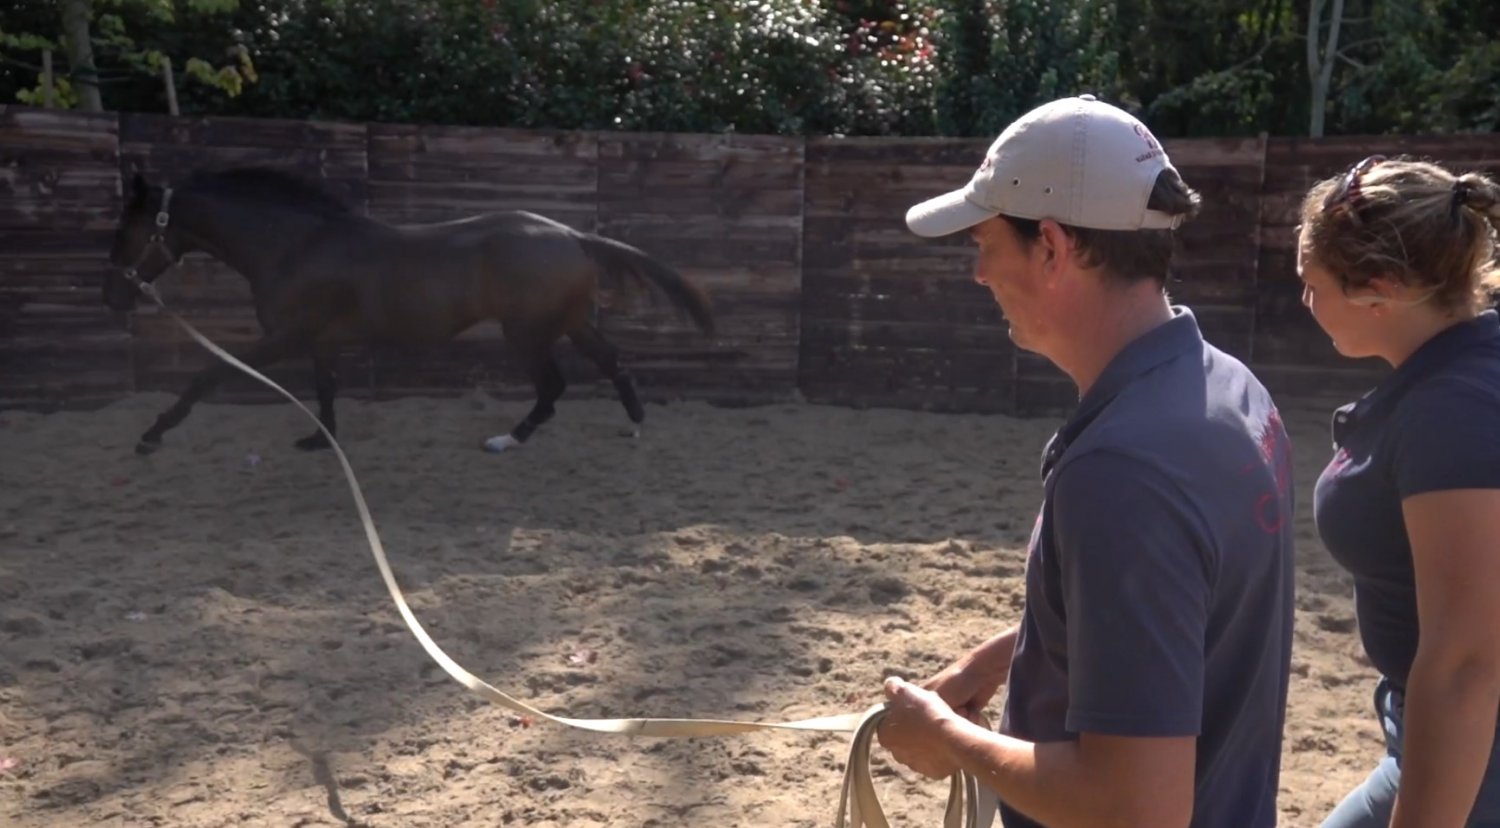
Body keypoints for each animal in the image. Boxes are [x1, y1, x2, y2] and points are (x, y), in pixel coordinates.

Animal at [102, 167, 716, 455]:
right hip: (567, 322)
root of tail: (573, 236)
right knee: (612, 363)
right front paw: (320, 441)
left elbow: (209, 374)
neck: (296, 244)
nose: (113, 296)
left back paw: (506, 440)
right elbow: (326, 389)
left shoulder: (284, 335)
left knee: (554, 385)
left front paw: (151, 435)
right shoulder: (321, 339)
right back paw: (634, 427)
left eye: (126, 231)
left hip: (526, 332)